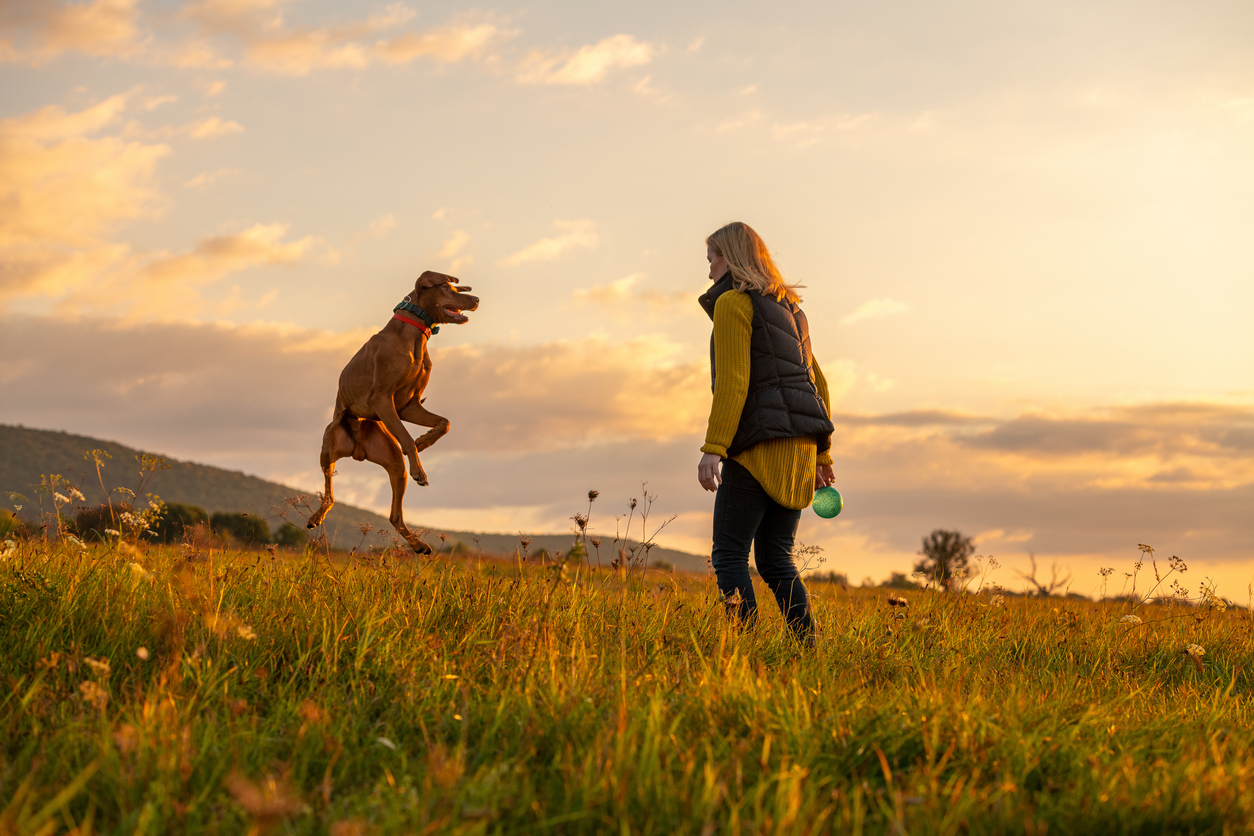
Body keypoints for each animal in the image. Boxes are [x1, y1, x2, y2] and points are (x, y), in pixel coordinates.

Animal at [305, 271, 476, 551]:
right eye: (445, 287)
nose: (476, 299)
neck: (414, 334)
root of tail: (357, 448)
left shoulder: (408, 405)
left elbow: (445, 423)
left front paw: (424, 441)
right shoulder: (382, 400)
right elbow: (406, 437)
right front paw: (419, 465)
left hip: (394, 463)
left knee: (394, 515)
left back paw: (419, 545)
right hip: (329, 444)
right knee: (329, 493)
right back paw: (316, 517)